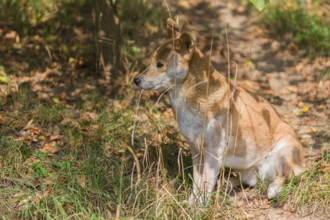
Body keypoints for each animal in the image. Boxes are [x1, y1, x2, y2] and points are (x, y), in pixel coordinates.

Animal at [134, 18, 304, 205]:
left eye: (160, 64)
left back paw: (274, 189)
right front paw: (191, 203)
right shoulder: (196, 152)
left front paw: (199, 207)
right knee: (247, 180)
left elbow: (205, 184)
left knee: (289, 178)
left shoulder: (212, 153)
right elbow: (198, 184)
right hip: (248, 170)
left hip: (284, 152)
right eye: (151, 61)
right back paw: (226, 183)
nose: (136, 80)